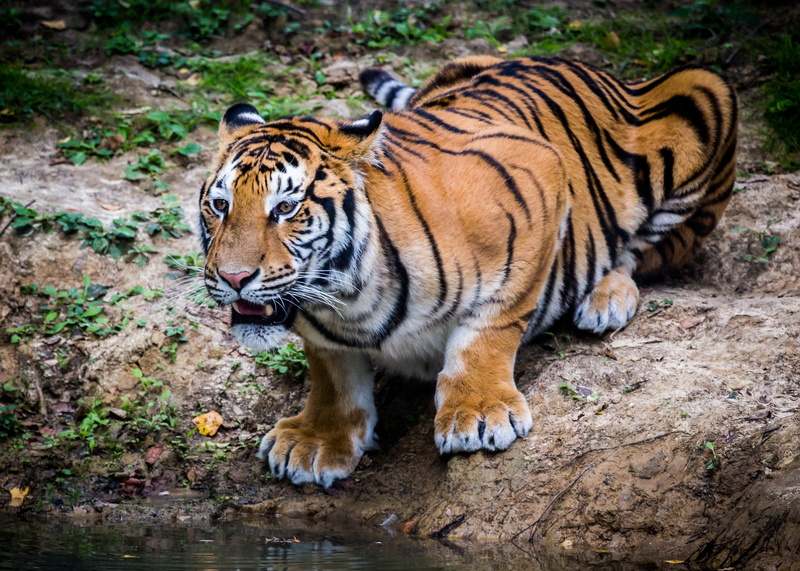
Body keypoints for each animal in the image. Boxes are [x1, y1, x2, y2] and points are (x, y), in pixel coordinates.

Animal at [198, 55, 737, 487]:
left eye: (286, 208)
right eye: (220, 205)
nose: (233, 278)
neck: (350, 302)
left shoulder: (539, 178)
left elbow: (489, 328)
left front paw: (478, 413)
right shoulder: (323, 330)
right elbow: (332, 374)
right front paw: (317, 440)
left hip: (705, 94)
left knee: (639, 253)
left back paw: (607, 299)